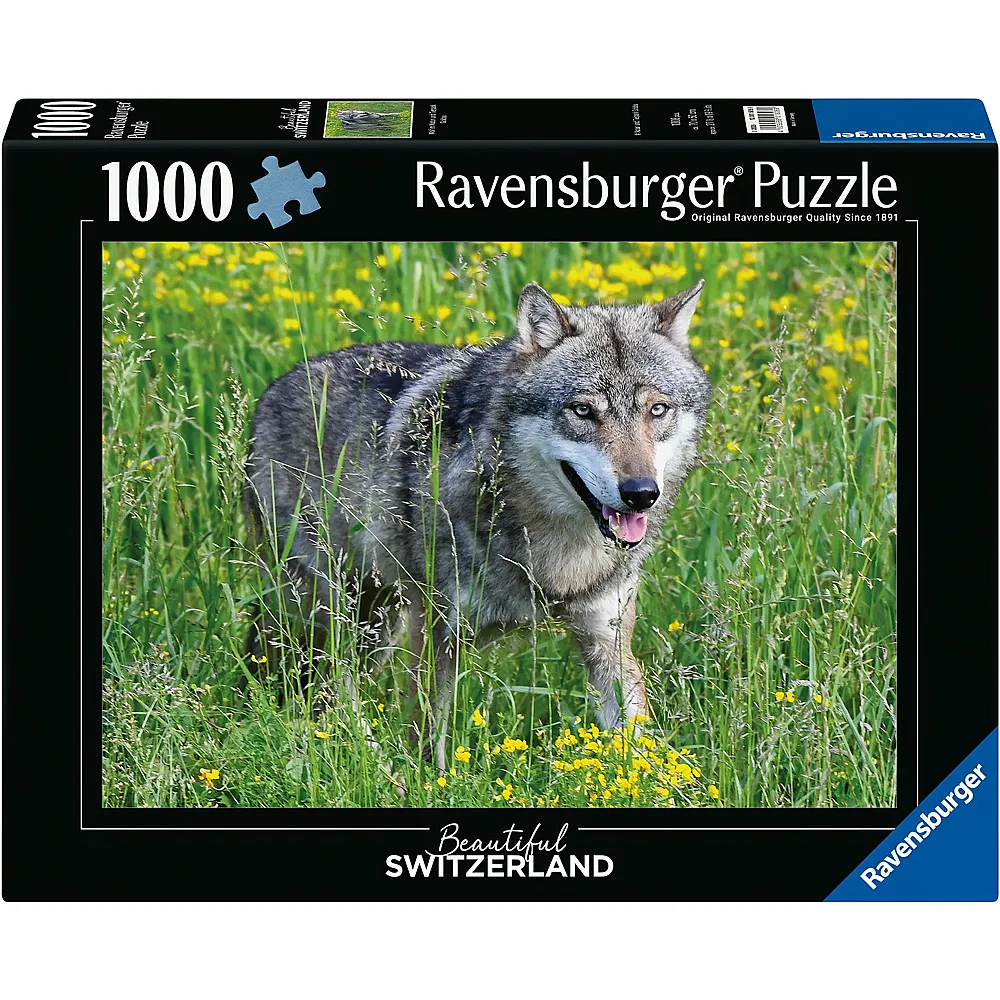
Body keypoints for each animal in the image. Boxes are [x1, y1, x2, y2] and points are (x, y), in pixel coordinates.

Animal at [244, 279, 712, 770]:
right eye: (583, 411)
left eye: (657, 410)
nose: (641, 492)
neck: (556, 551)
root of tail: (271, 393)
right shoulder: (437, 633)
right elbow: (425, 737)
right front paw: (425, 781)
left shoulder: (608, 639)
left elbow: (638, 745)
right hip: (337, 614)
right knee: (327, 687)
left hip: (377, 624)